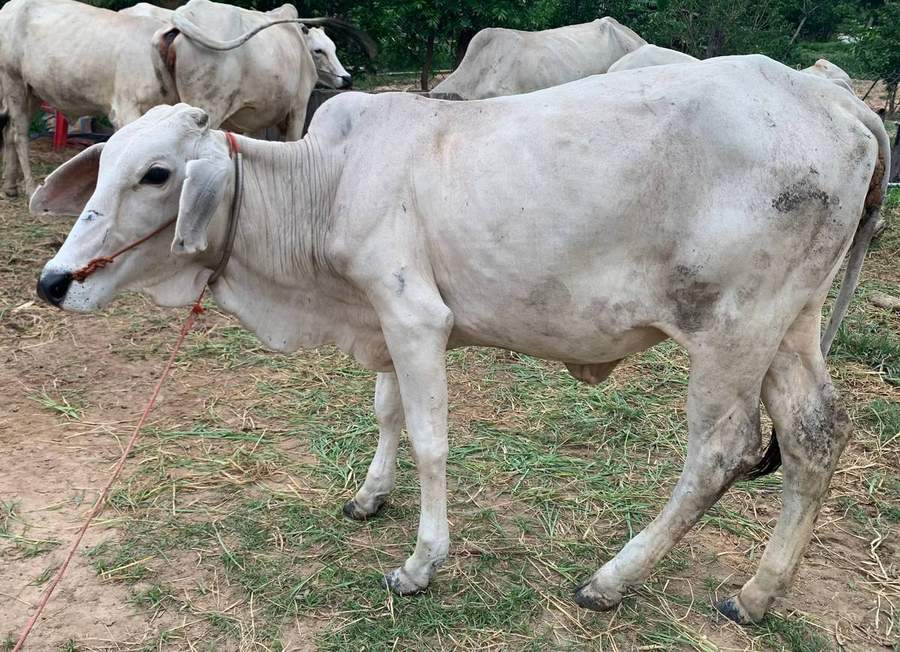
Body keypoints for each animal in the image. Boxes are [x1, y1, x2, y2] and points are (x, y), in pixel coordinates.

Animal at [0, 0, 178, 197]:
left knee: (9, 131)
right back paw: (30, 189)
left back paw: (10, 186)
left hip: (34, 91)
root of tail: (11, 6)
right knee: (19, 134)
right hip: (13, 81)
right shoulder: (127, 110)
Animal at [32, 55, 888, 624]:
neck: (327, 181)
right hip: (790, 324)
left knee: (719, 452)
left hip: (732, 329)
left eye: (156, 175)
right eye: (102, 167)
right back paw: (758, 592)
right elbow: (384, 414)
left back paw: (612, 579)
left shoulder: (414, 317)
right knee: (815, 435)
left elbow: (429, 438)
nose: (54, 281)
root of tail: (832, 95)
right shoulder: (382, 317)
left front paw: (420, 563)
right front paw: (370, 496)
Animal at [154, 0, 373, 139]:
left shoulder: (255, 122)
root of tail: (185, 14)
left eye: (334, 48)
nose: (346, 78)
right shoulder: (298, 108)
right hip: (207, 108)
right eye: (318, 51)